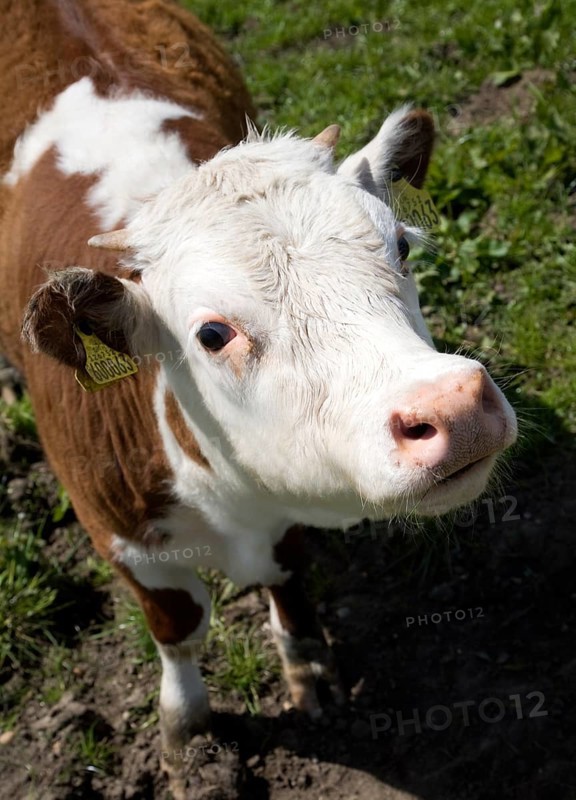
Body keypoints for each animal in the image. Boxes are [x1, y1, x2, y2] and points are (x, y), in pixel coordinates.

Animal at [0, 0, 517, 795]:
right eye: (212, 333)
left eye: (400, 246)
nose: (454, 408)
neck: (228, 496)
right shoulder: (118, 535)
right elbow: (179, 628)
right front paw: (186, 732)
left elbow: (288, 573)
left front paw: (308, 666)